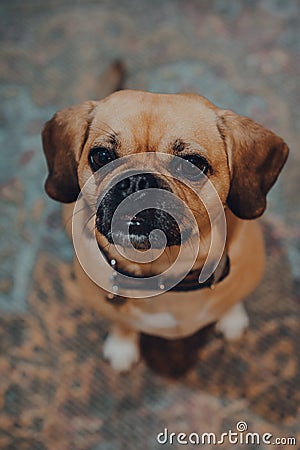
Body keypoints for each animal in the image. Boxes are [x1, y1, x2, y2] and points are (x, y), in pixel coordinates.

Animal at [42, 72, 288, 370]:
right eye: (101, 156)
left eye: (192, 164)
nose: (137, 180)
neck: (162, 270)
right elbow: (122, 324)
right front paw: (122, 345)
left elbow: (232, 300)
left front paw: (231, 317)